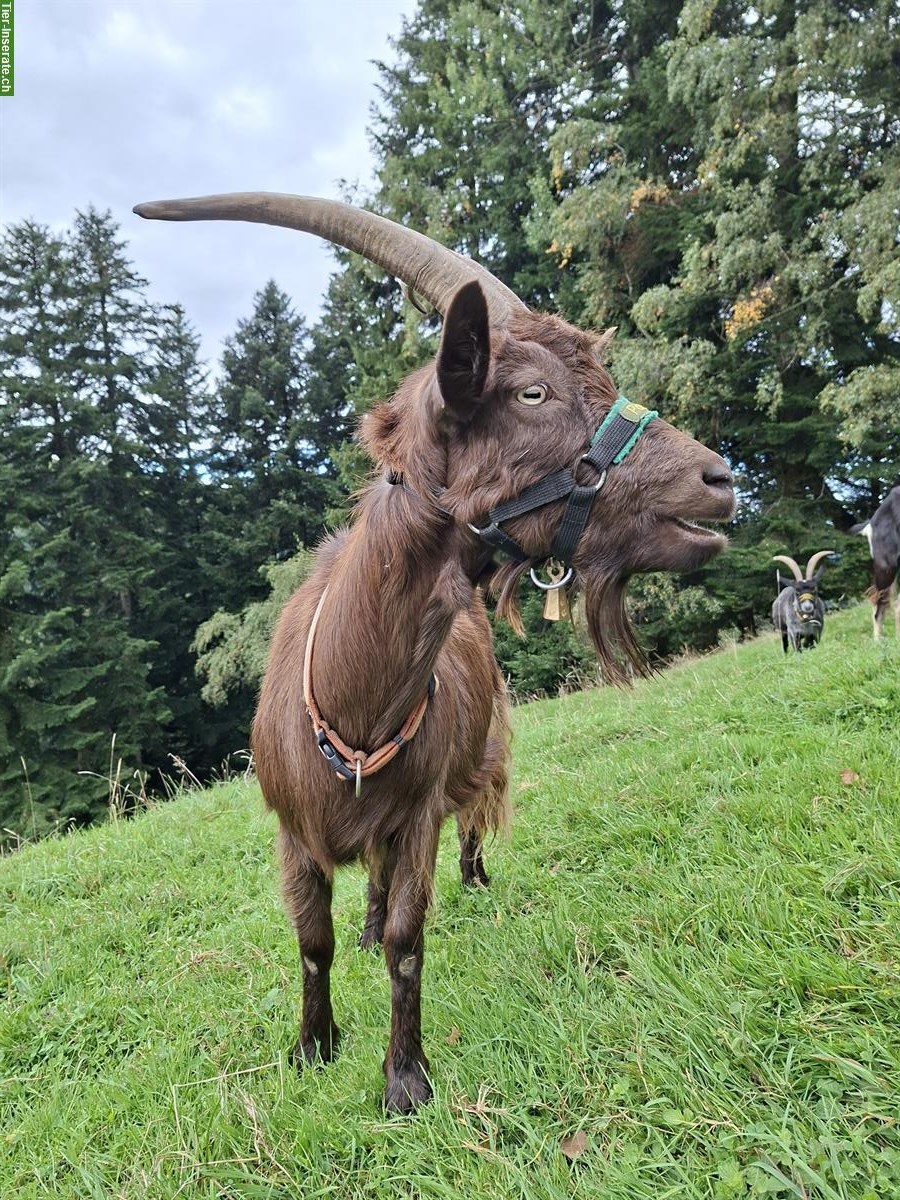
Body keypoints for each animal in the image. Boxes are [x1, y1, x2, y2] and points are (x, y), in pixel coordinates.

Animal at [134, 193, 736, 1113]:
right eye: (531, 391)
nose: (719, 480)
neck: (352, 701)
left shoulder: (416, 814)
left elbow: (409, 940)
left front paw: (404, 1080)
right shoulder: (291, 832)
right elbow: (313, 940)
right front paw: (314, 1045)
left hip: (484, 749)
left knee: (472, 819)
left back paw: (475, 879)